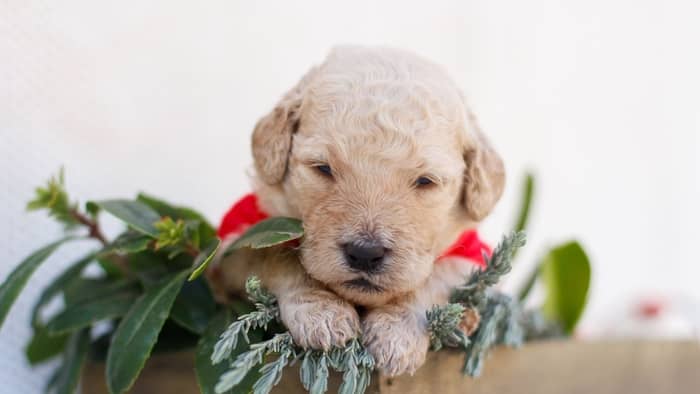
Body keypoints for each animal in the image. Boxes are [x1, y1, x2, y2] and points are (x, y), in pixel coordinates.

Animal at [208, 46, 504, 376]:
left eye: (425, 181)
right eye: (323, 169)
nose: (365, 253)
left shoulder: (470, 253)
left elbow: (436, 274)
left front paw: (396, 333)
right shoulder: (237, 246)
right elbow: (280, 255)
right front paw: (322, 312)